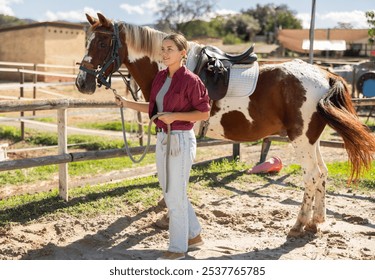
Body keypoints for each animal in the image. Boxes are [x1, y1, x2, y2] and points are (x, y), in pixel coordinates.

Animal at [75, 12, 375, 237]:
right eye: (86, 41)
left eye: (101, 44)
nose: (82, 83)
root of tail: (326, 74)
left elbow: (173, 172)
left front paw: (167, 210)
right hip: (312, 141)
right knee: (322, 174)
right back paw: (316, 221)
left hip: (301, 140)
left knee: (311, 176)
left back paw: (299, 224)